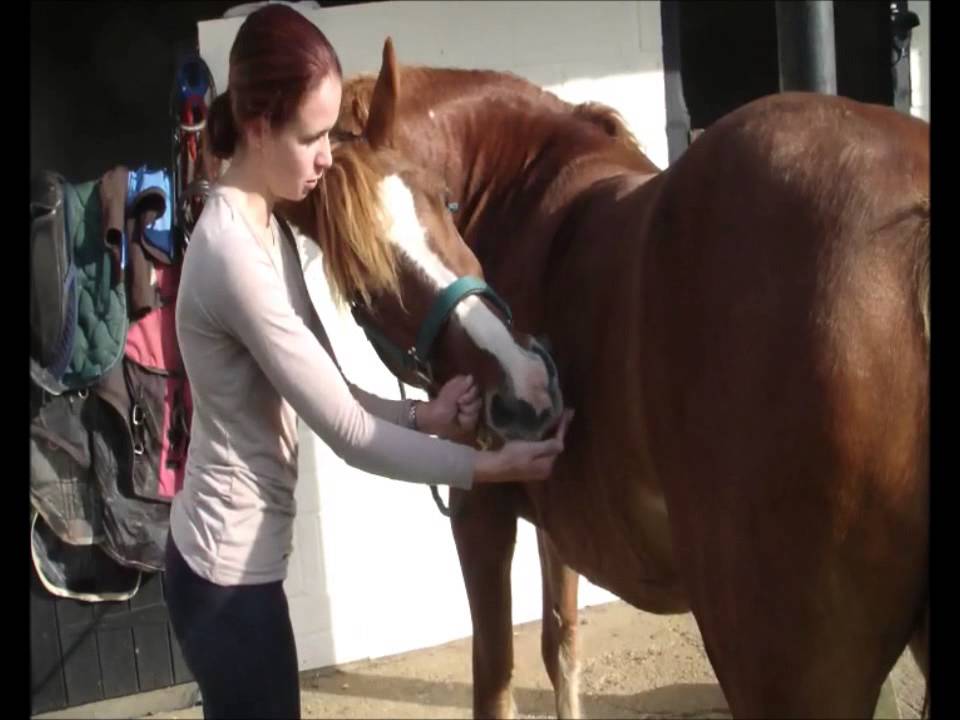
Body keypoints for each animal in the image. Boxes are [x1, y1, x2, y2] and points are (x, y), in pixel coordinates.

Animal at [285, 38, 930, 719]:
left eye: (443, 200)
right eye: (360, 281)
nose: (526, 390)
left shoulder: (480, 512)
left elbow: (497, 677)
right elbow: (561, 645)